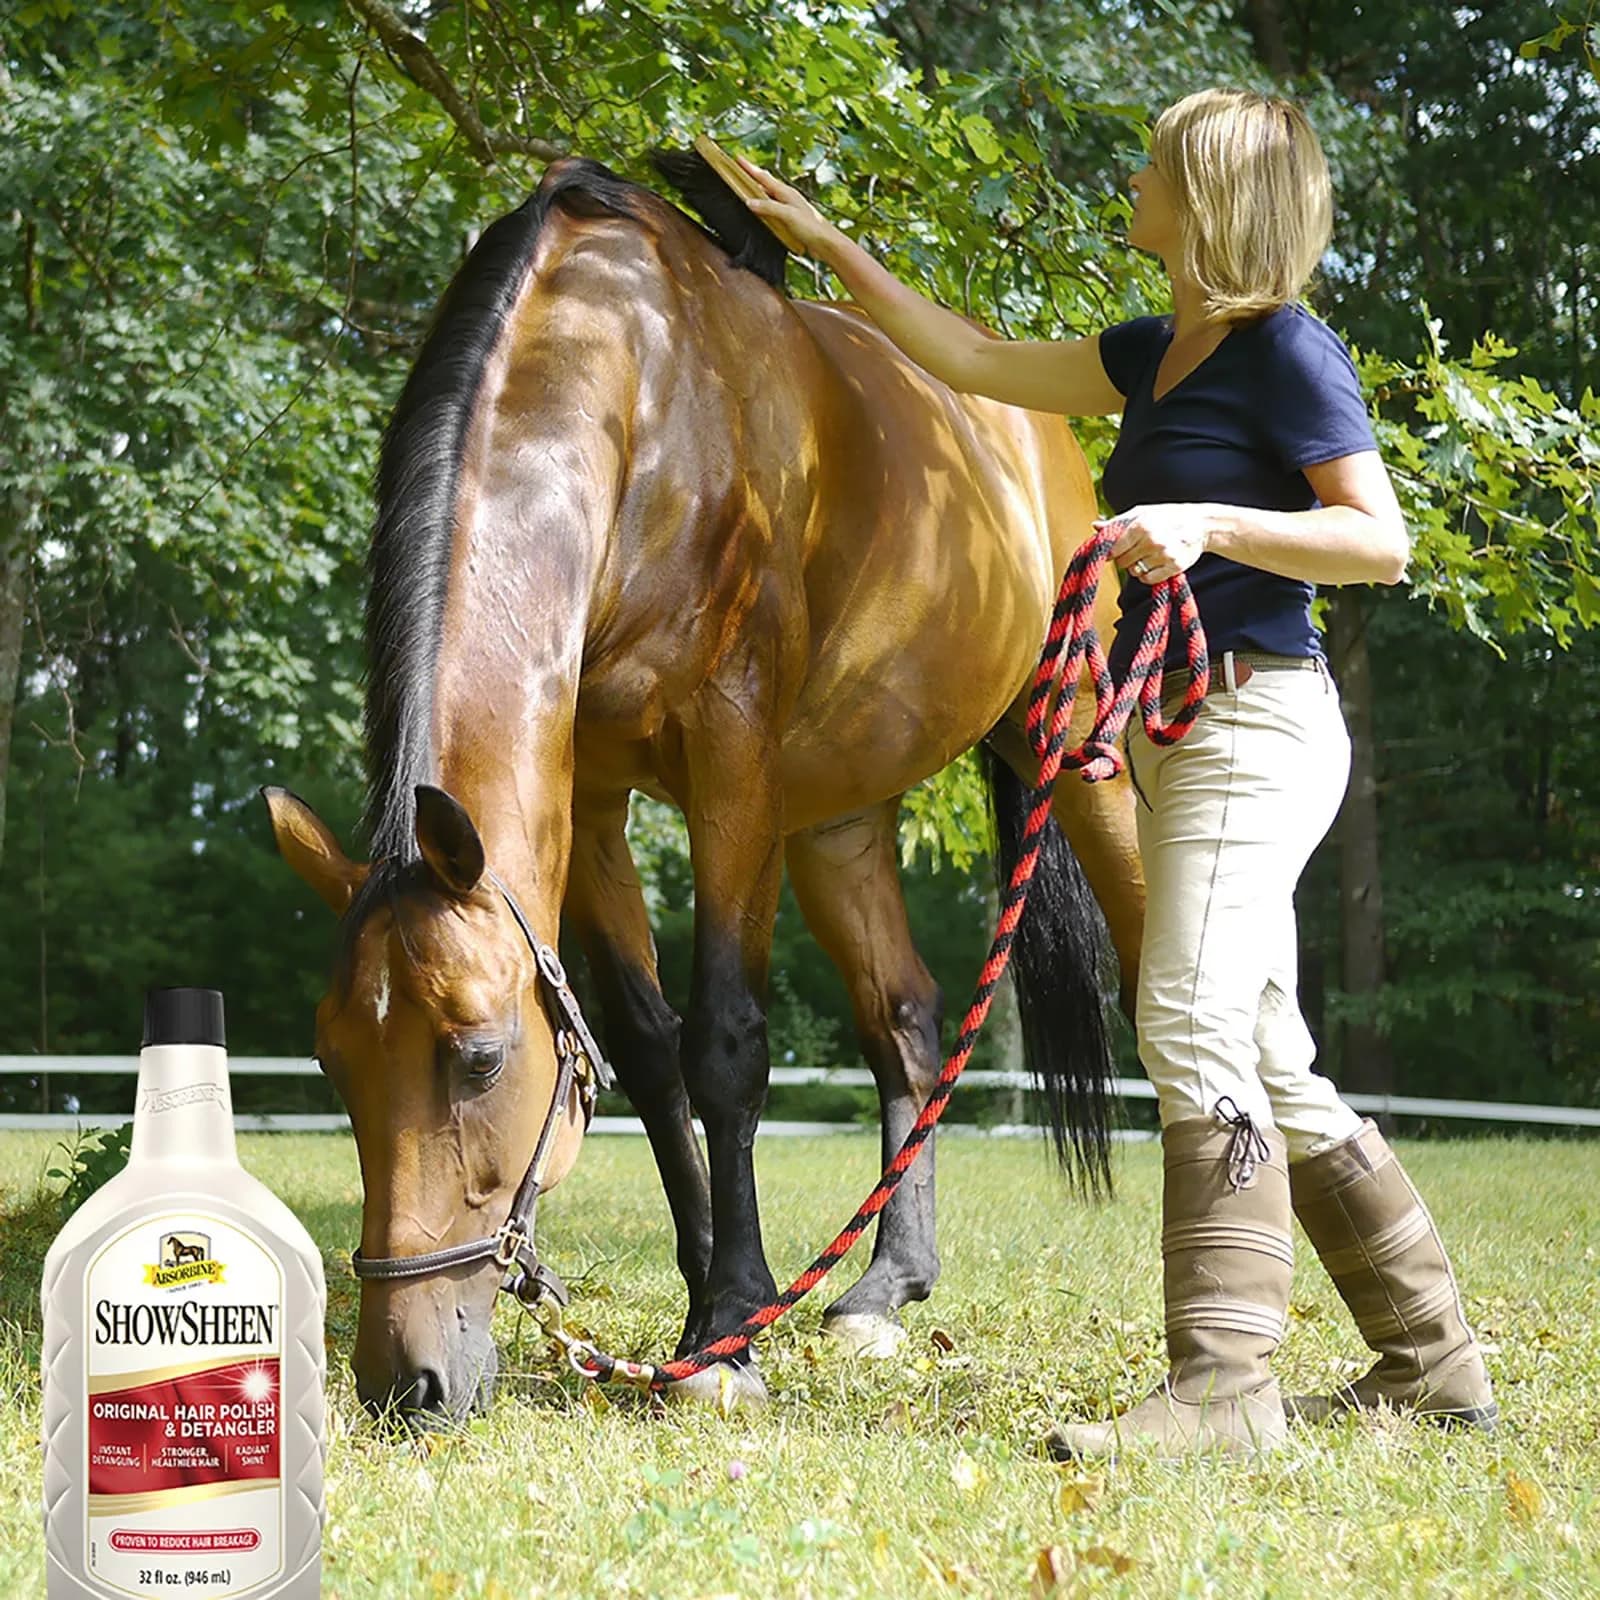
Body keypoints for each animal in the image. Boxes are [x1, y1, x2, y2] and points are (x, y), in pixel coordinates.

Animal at [262, 150, 1144, 1422]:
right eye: (332, 1058)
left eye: (477, 1055)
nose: (408, 1379)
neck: (641, 395)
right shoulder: (588, 799)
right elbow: (644, 1046)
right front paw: (711, 1308)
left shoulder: (730, 761)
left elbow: (723, 1044)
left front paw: (728, 1328)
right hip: (837, 815)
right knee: (906, 1019)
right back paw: (885, 1286)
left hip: (1073, 754)